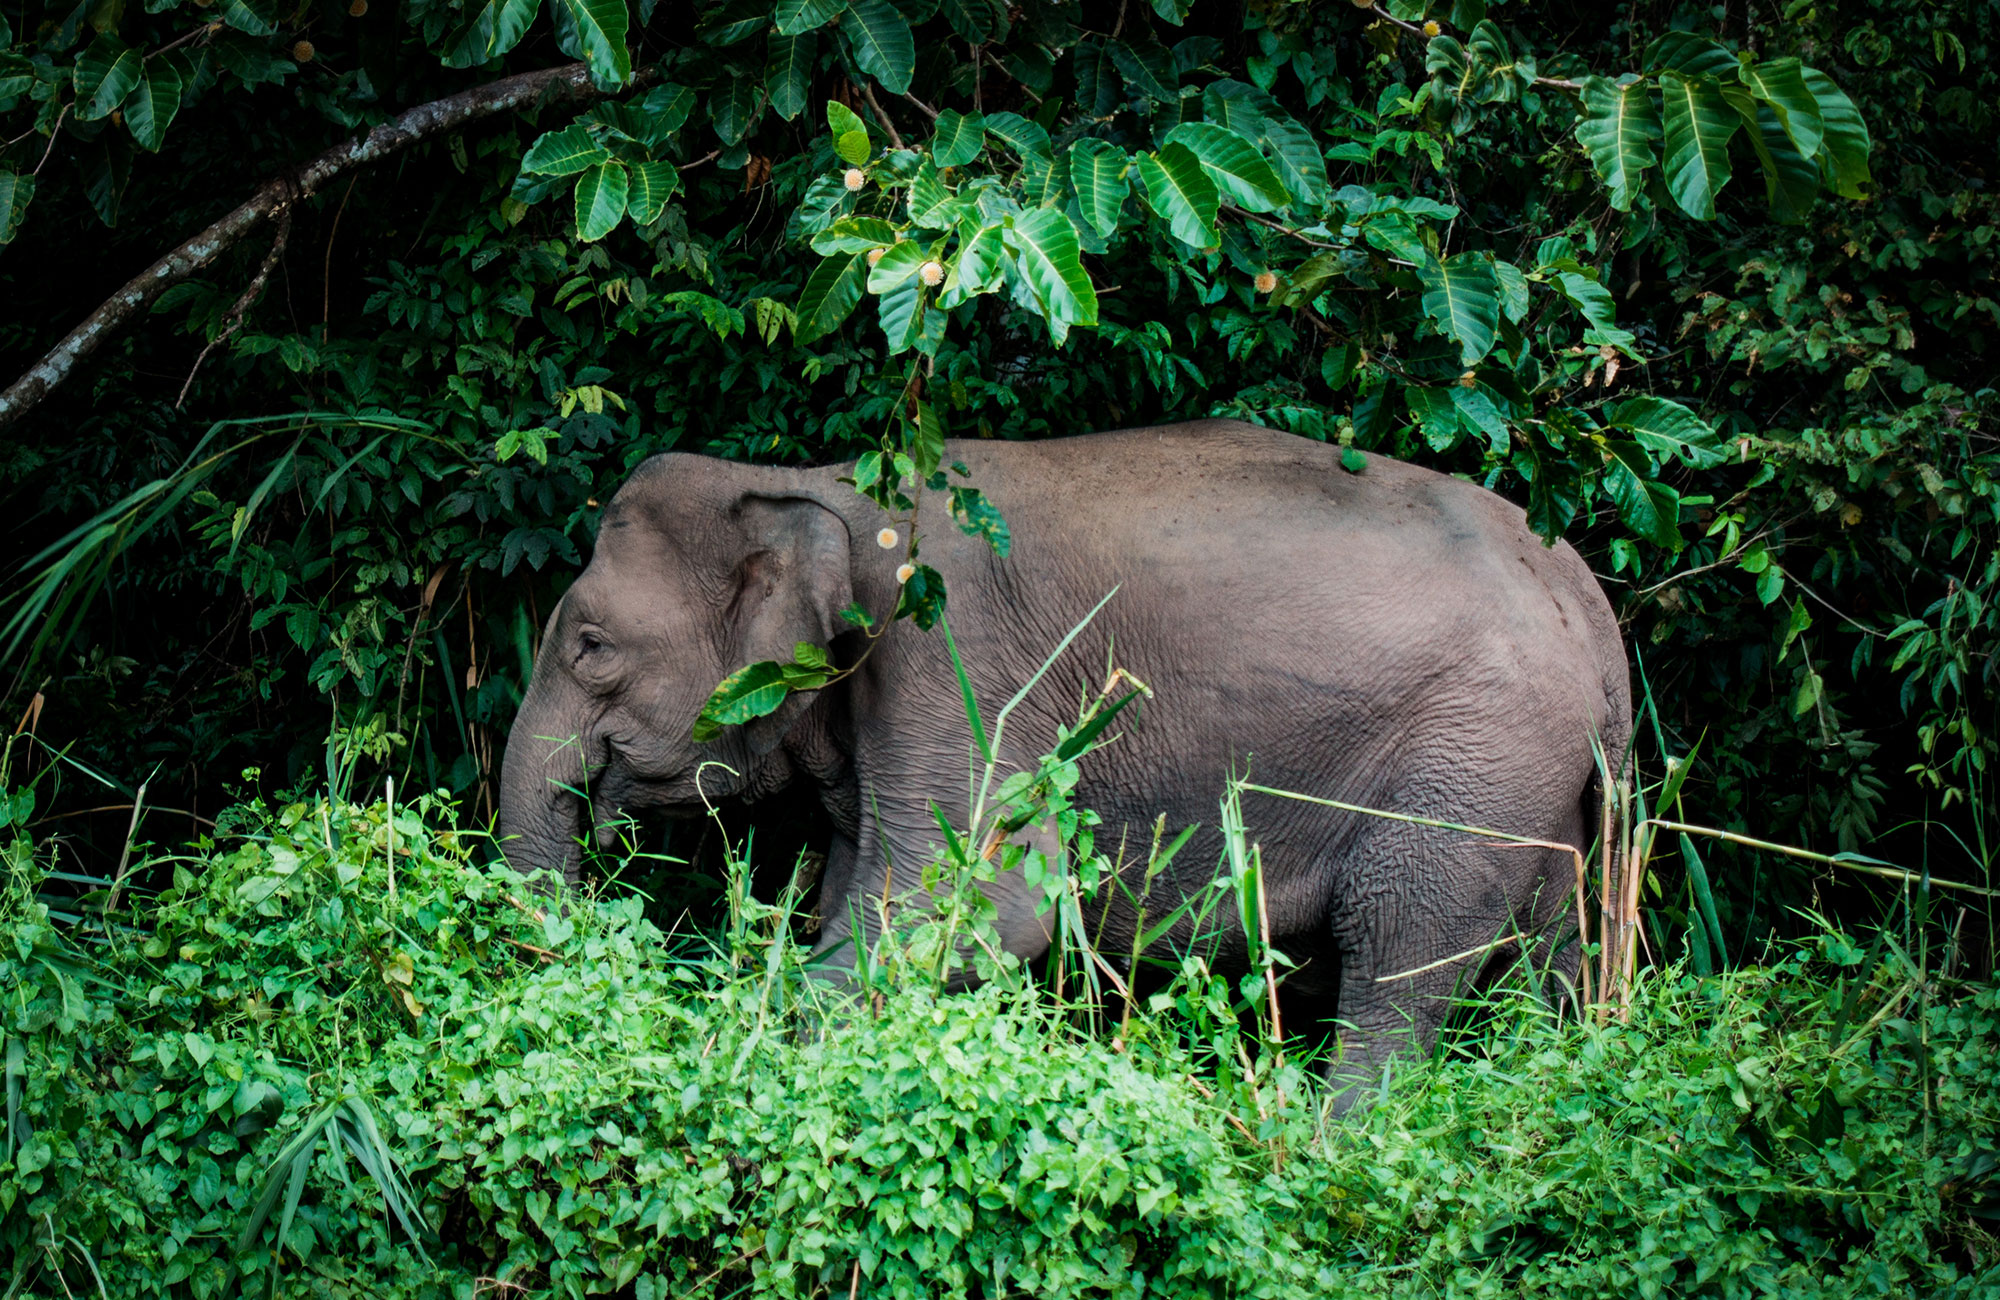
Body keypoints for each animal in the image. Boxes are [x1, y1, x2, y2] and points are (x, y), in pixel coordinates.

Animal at [496, 420, 1624, 1088]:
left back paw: (1325, 1150)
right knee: (1542, 952)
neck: (807, 483)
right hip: (1535, 785)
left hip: (1470, 763)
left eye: (590, 645)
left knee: (1397, 952)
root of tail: (1591, 610)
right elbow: (870, 894)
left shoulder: (954, 663)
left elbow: (974, 911)